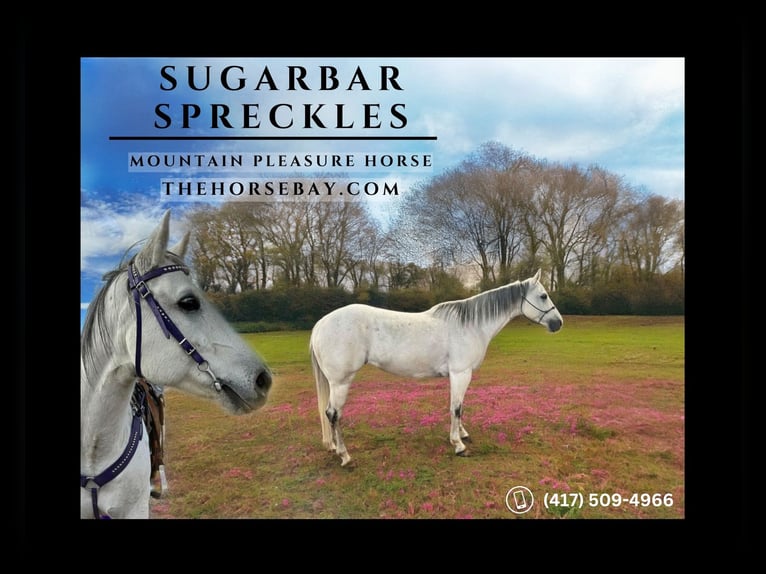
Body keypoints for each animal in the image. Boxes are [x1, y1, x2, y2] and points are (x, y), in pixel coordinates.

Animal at [310, 269, 562, 466]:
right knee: (333, 414)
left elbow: (459, 406)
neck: (471, 325)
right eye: (543, 295)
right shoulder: (461, 373)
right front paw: (458, 444)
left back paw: (334, 447)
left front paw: (462, 434)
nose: (558, 323)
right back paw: (345, 456)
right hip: (340, 382)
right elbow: (456, 408)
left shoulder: (458, 375)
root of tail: (321, 324)